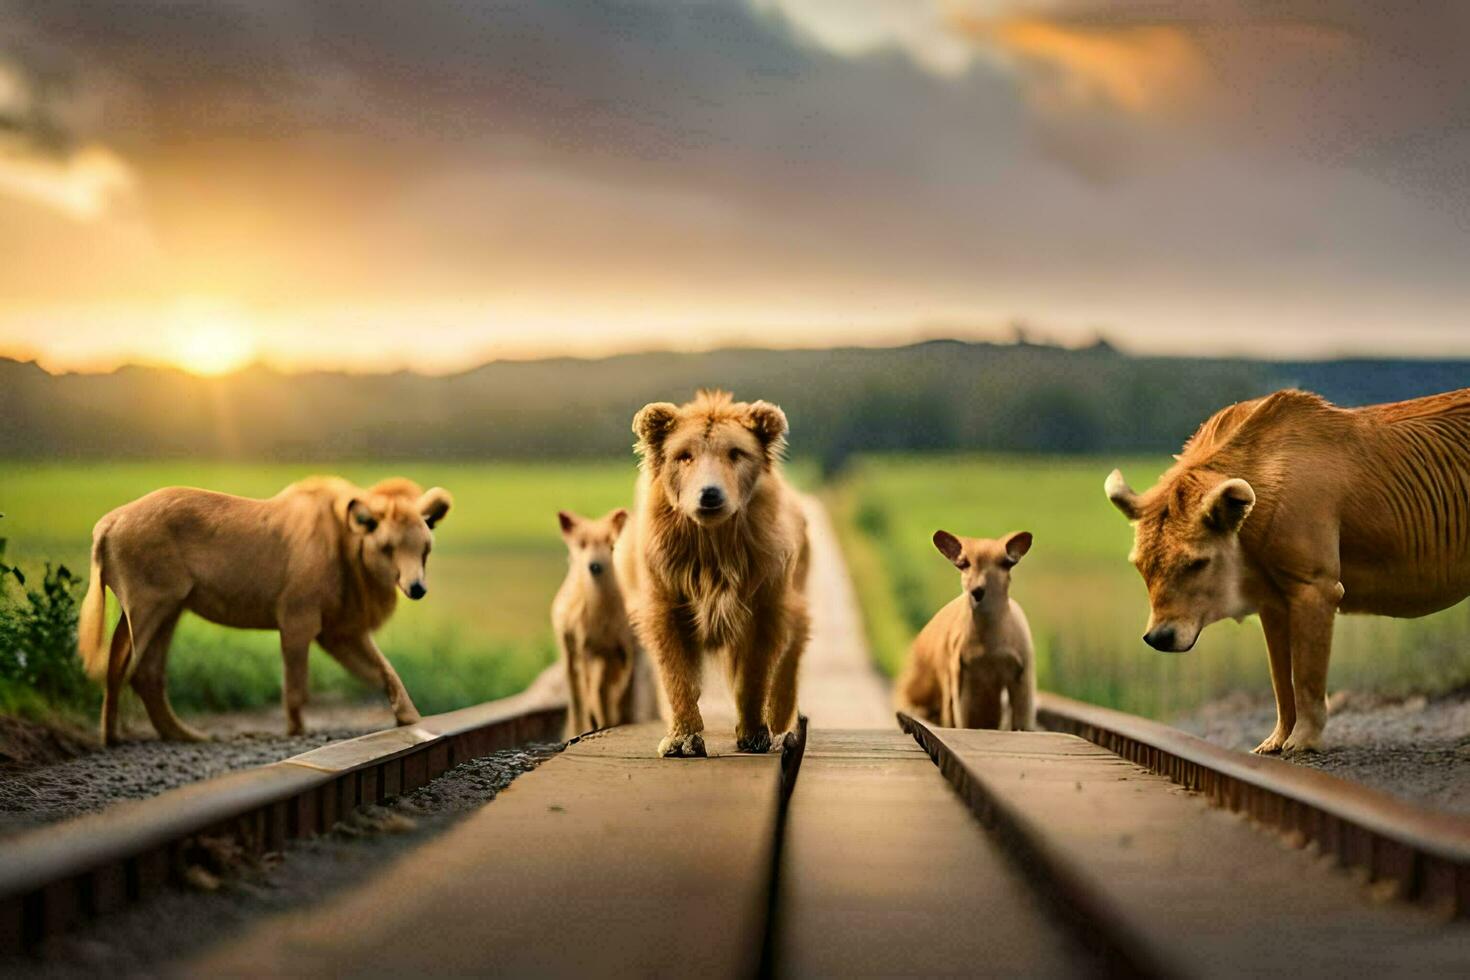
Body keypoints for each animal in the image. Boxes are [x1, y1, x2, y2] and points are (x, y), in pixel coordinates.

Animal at [552, 505, 637, 734]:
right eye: (581, 544)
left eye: (611, 545)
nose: (595, 566)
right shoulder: (582, 648)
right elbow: (586, 694)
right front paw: (590, 726)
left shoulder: (615, 650)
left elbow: (608, 692)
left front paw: (609, 722)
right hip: (569, 652)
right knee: (577, 693)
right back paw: (579, 727)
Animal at [614, 390, 811, 758]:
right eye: (684, 456)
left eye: (735, 453)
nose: (710, 494)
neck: (713, 545)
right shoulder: (667, 600)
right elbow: (677, 675)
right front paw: (682, 739)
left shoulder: (764, 600)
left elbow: (754, 673)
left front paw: (754, 732)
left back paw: (780, 720)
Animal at [887, 528, 1040, 728]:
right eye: (964, 563)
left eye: (1005, 563)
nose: (977, 591)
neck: (989, 647)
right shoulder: (958, 669)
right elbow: (960, 718)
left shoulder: (1023, 672)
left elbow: (1022, 723)